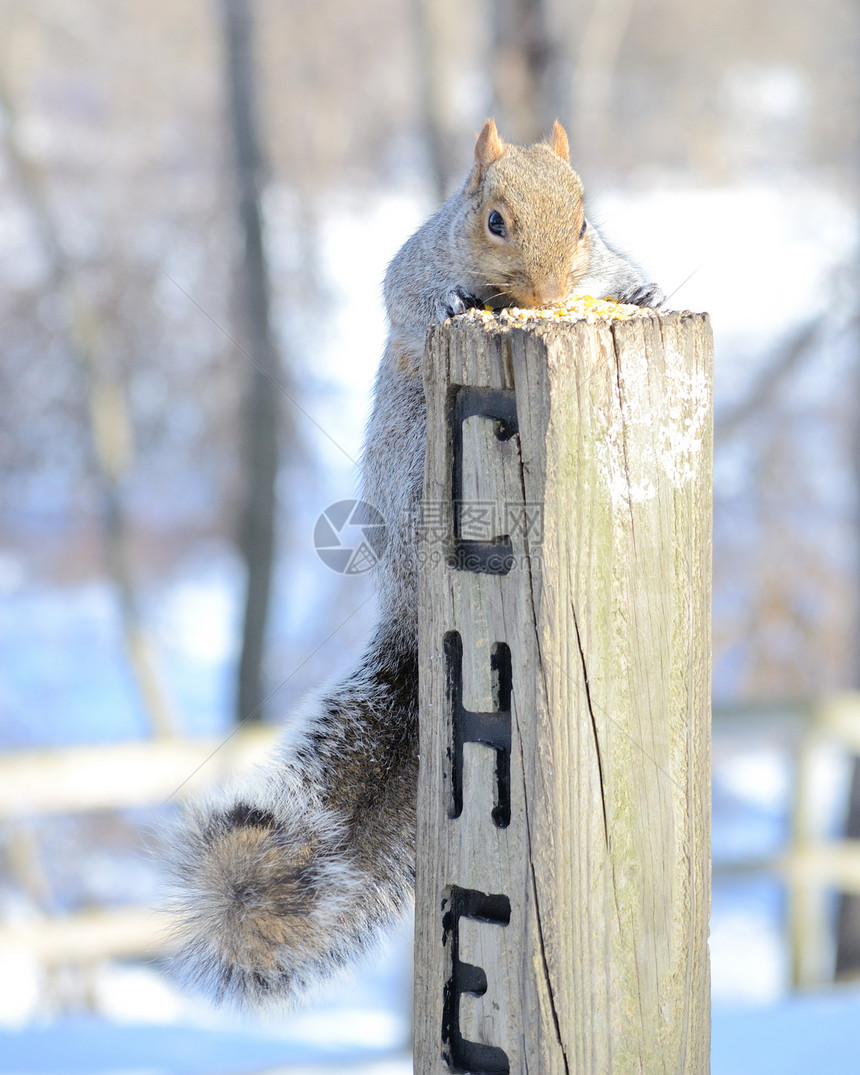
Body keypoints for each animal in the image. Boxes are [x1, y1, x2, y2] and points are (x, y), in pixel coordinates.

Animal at [169, 119, 666, 1006]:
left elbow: (622, 274)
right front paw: (447, 302)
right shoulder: (413, 260)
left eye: (584, 223)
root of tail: (405, 593)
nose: (549, 295)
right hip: (412, 463)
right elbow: (407, 296)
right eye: (494, 220)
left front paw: (643, 293)